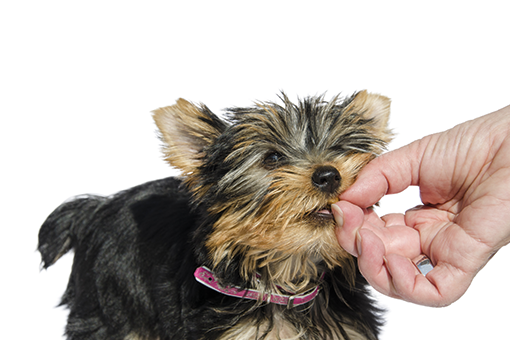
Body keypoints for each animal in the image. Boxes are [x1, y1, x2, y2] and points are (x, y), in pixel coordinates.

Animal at [38, 91, 390, 340]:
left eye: (341, 150)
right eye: (272, 158)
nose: (329, 175)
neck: (288, 277)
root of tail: (97, 208)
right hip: (111, 310)